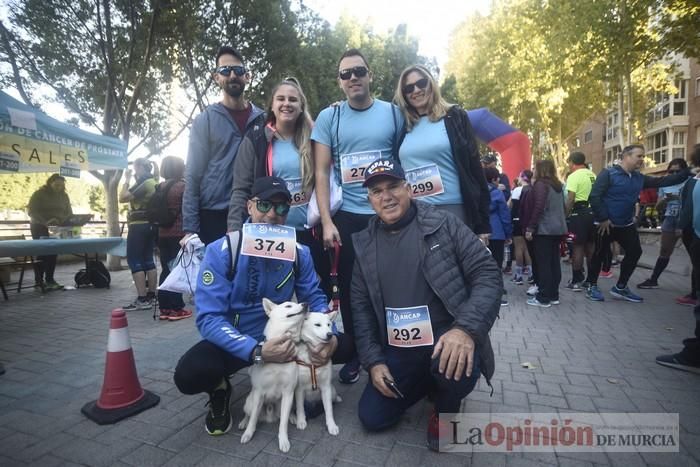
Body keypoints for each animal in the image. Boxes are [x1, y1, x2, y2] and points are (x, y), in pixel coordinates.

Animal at [241, 300, 306, 454]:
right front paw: (248, 433)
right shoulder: (259, 393)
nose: (306, 304)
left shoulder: (288, 393)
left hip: (288, 402)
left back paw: (293, 417)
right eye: (288, 305)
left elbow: (283, 423)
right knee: (248, 414)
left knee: (285, 415)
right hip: (250, 402)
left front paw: (283, 440)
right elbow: (253, 419)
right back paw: (243, 422)